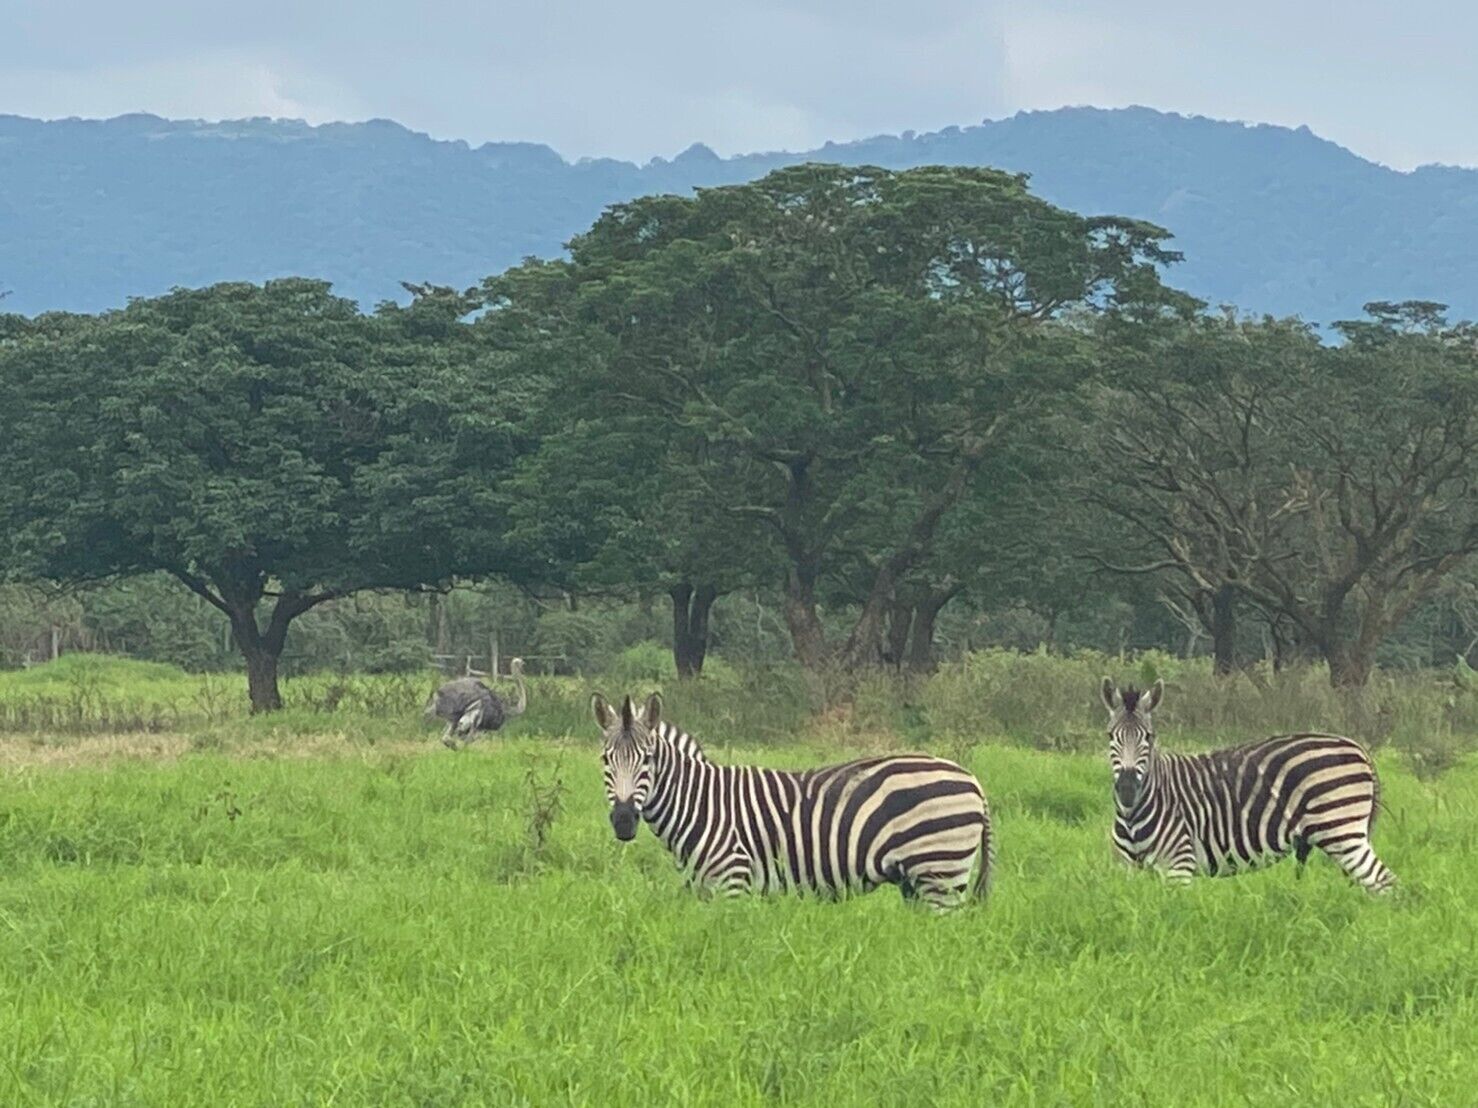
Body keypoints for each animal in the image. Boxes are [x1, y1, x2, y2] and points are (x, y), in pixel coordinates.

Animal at [593, 692, 993, 911]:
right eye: (605, 759)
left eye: (648, 760)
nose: (624, 820)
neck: (700, 804)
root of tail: (972, 779)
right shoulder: (704, 887)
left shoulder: (733, 882)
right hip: (918, 880)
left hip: (939, 873)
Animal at [1102, 677, 1395, 893]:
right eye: (1110, 736)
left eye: (1149, 737)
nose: (1127, 789)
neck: (1135, 812)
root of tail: (1357, 746)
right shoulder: (1125, 869)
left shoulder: (1178, 865)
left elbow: (1173, 918)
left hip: (1342, 831)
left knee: (1384, 883)